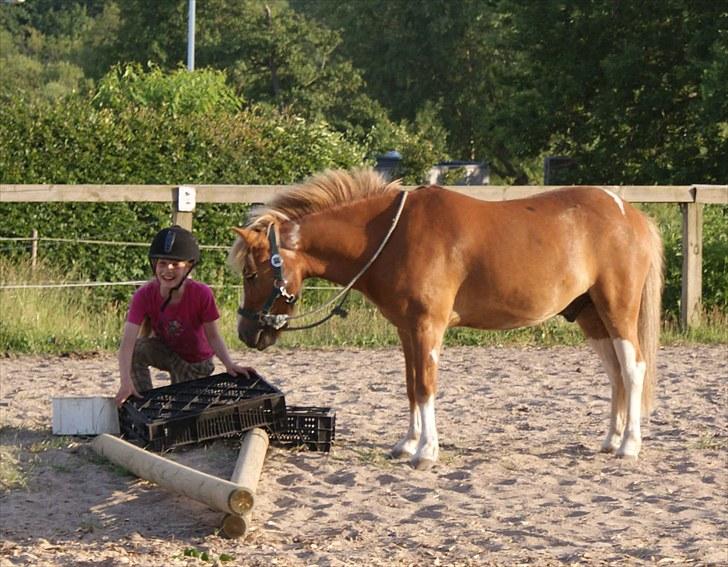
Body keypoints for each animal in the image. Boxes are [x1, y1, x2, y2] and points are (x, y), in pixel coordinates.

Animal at [230, 169, 664, 470]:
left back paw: (629, 445)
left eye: (250, 274)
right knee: (616, 374)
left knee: (633, 369)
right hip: (592, 317)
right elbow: (411, 387)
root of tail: (632, 216)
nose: (248, 333)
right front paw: (407, 444)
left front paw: (426, 452)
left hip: (617, 311)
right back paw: (611, 439)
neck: (392, 237)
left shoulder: (428, 327)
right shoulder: (407, 330)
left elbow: (426, 386)